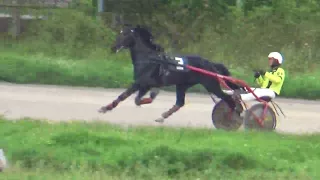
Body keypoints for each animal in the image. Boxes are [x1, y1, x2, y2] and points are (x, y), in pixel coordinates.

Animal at [97, 24, 242, 122]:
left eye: (125, 34)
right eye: (120, 33)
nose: (113, 47)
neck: (149, 59)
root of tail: (210, 63)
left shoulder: (142, 83)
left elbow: (129, 98)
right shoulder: (143, 84)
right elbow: (131, 98)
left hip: (211, 84)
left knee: (229, 98)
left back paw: (233, 115)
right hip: (182, 85)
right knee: (180, 103)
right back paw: (162, 117)